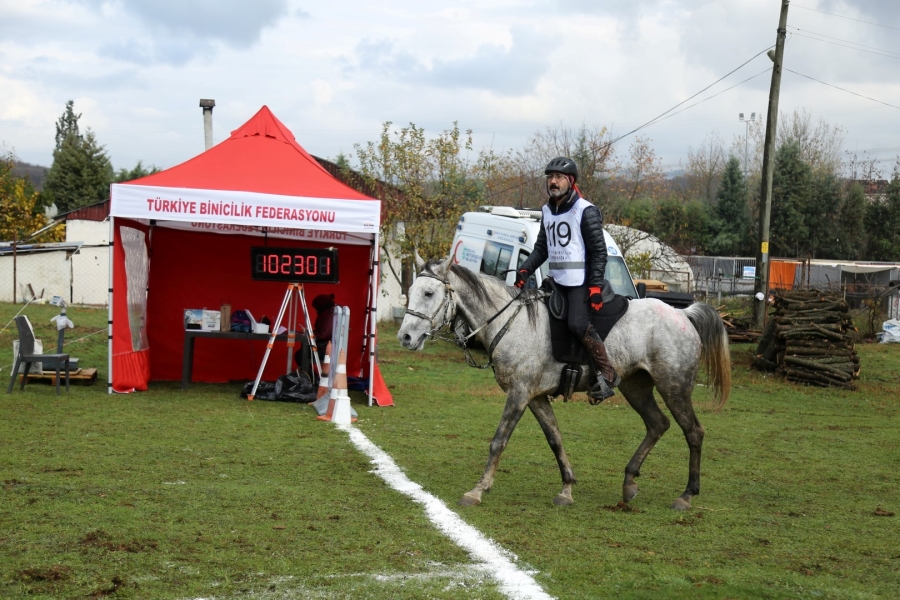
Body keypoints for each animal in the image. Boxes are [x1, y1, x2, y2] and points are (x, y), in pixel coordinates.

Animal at [400, 258, 732, 510]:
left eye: (428, 293)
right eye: (410, 291)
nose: (405, 337)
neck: (511, 322)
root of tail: (682, 314)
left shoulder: (519, 394)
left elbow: (499, 441)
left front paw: (477, 490)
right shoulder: (535, 397)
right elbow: (555, 438)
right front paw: (567, 489)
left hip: (673, 387)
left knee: (693, 432)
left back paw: (686, 495)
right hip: (635, 386)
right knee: (657, 424)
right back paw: (629, 482)